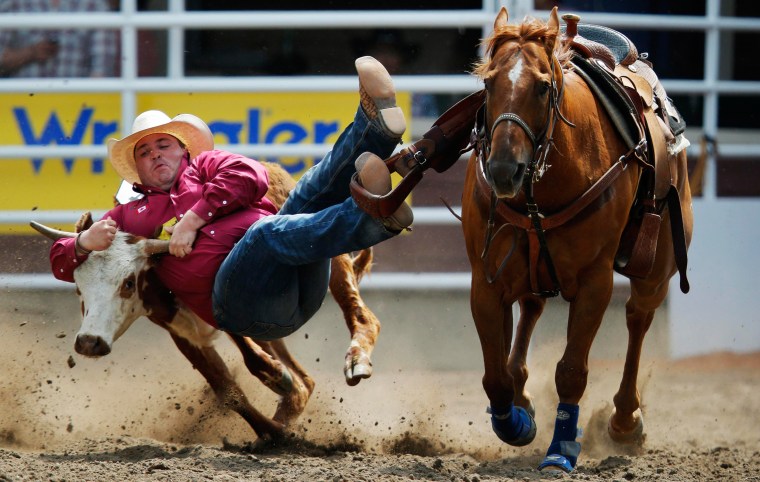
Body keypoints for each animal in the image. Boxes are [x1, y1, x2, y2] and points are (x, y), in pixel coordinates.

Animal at [460, 7, 692, 472]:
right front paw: (515, 422)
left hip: (657, 268)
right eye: (488, 83)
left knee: (638, 318)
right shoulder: (486, 281)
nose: (503, 170)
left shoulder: (594, 282)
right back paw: (524, 396)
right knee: (531, 309)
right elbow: (494, 377)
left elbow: (571, 370)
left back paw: (625, 420)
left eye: (543, 87)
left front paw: (561, 448)